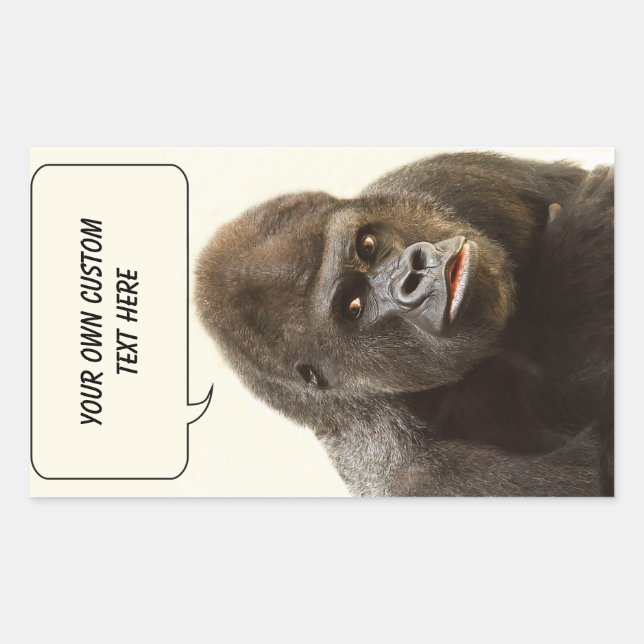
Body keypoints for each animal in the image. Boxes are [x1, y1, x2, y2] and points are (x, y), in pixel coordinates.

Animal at [195, 152, 614, 496]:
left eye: (366, 245)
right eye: (353, 306)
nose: (414, 271)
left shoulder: (450, 181)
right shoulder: (417, 478)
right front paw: (579, 256)